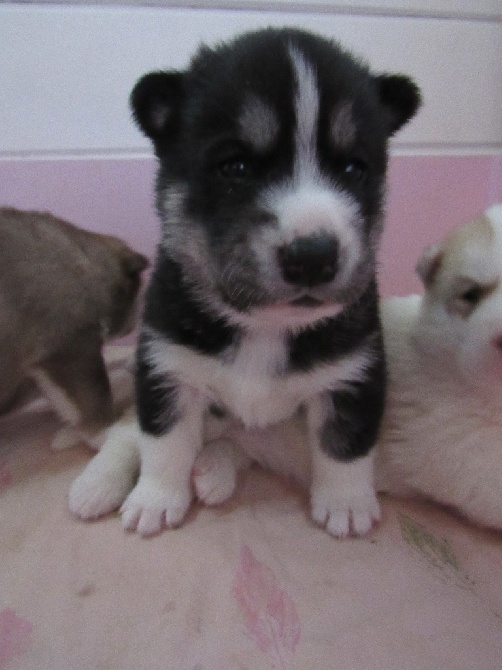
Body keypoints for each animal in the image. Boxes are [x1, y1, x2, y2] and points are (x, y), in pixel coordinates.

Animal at [120, 27, 420, 540]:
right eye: (236, 167)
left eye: (353, 168)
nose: (313, 257)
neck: (266, 327)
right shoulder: (167, 365)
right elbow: (164, 439)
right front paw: (156, 498)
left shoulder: (355, 372)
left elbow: (346, 445)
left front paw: (346, 504)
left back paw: (215, 470)